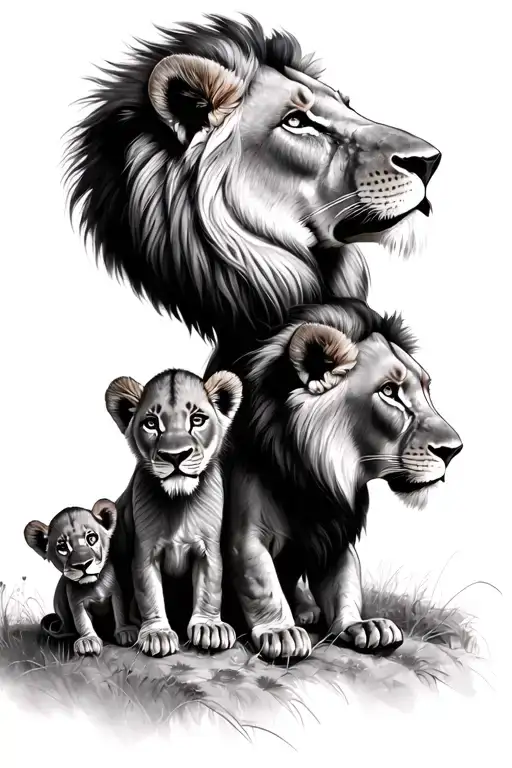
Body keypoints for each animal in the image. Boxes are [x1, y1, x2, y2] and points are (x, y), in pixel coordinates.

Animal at [24, 500, 138, 656]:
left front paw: (125, 631)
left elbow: (120, 611)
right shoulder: (76, 601)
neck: (94, 585)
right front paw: (88, 640)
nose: (82, 565)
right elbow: (82, 621)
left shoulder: (115, 592)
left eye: (91, 538)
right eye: (62, 547)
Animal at [105, 368, 242, 657]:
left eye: (197, 419)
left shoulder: (209, 550)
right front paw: (157, 633)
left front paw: (210, 628)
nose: (175, 456)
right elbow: (149, 593)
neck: (179, 502)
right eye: (151, 423)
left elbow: (210, 588)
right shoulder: (145, 553)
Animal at [223, 299, 462, 660]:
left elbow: (343, 583)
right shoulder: (245, 533)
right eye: (389, 391)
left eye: (426, 388)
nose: (454, 451)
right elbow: (261, 582)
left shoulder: (335, 535)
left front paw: (360, 626)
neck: (319, 478)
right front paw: (280, 632)